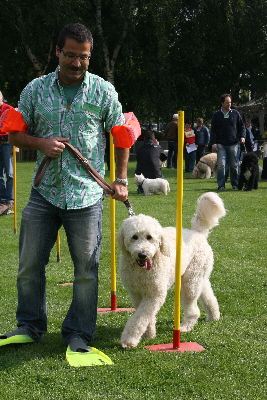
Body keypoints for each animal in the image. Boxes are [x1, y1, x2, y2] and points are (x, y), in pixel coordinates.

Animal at [117, 192, 226, 348]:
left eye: (149, 237)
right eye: (134, 237)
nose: (143, 254)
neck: (142, 270)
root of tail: (197, 232)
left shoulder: (155, 294)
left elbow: (140, 318)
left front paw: (129, 339)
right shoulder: (136, 293)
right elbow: (146, 316)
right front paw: (149, 334)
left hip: (190, 283)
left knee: (193, 308)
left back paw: (186, 326)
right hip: (197, 276)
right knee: (208, 294)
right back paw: (213, 315)